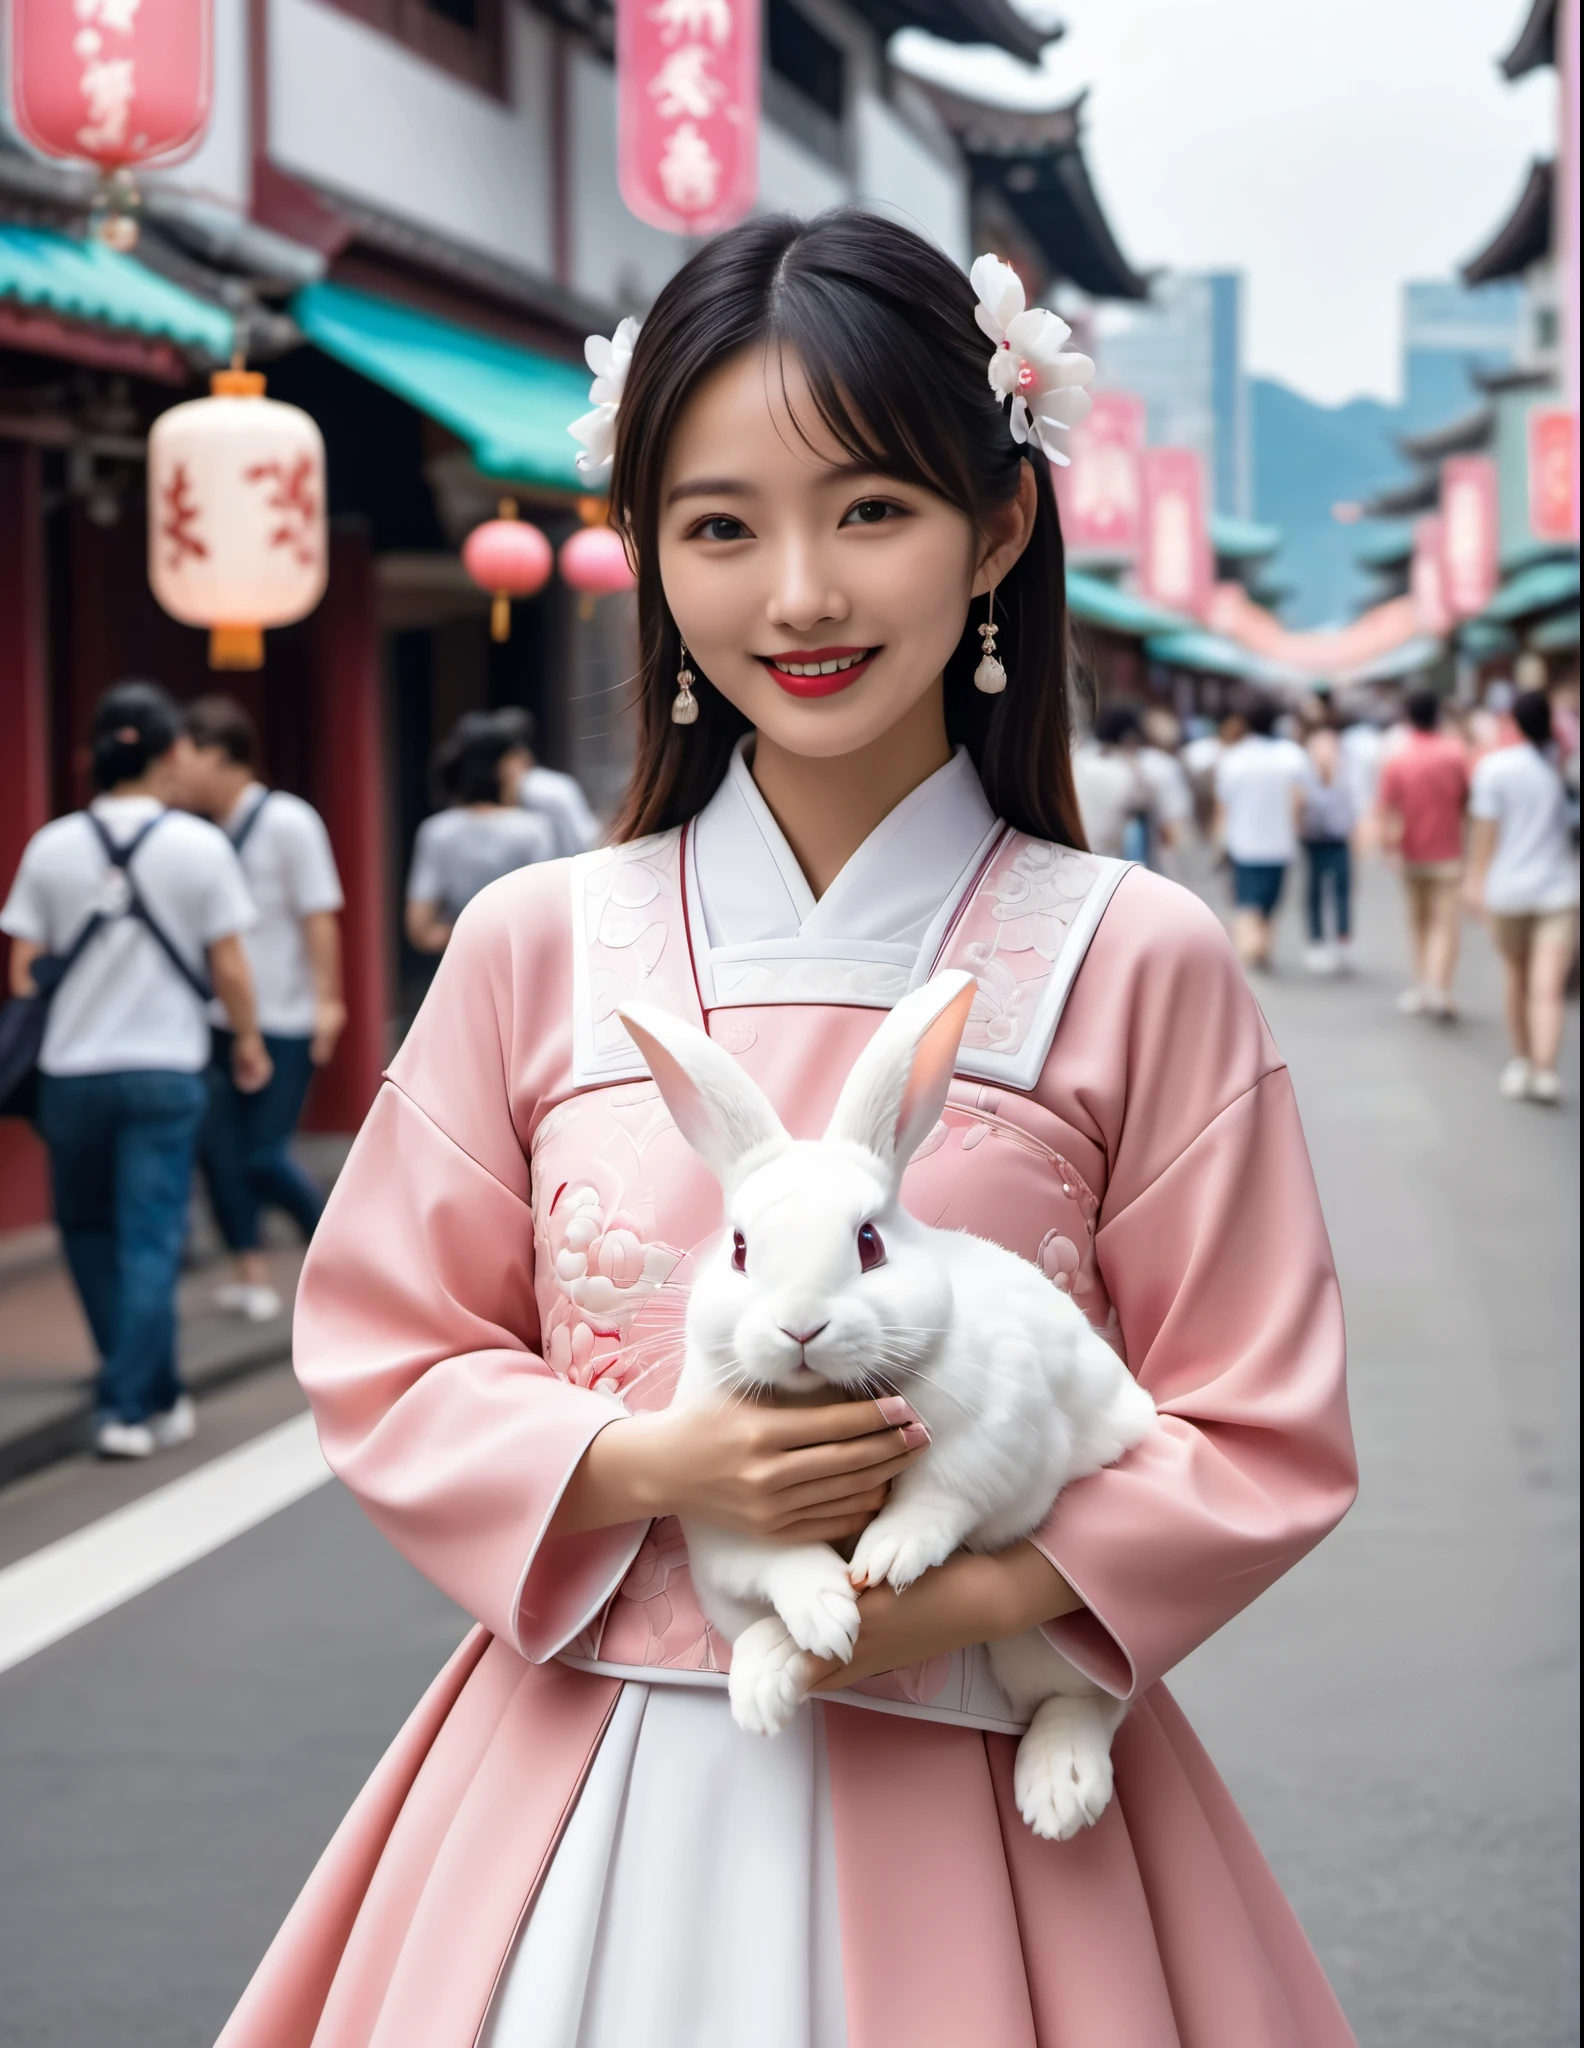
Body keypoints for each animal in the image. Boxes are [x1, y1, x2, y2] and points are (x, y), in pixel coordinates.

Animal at [618, 966, 1147, 1851]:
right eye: (739, 1250)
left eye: (869, 1243)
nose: (801, 1326)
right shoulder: (724, 1521)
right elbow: (782, 1561)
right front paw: (826, 1616)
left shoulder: (998, 1447)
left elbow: (939, 1499)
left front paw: (887, 1560)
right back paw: (763, 1683)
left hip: (1050, 1641)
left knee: (1093, 1698)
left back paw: (1058, 1795)